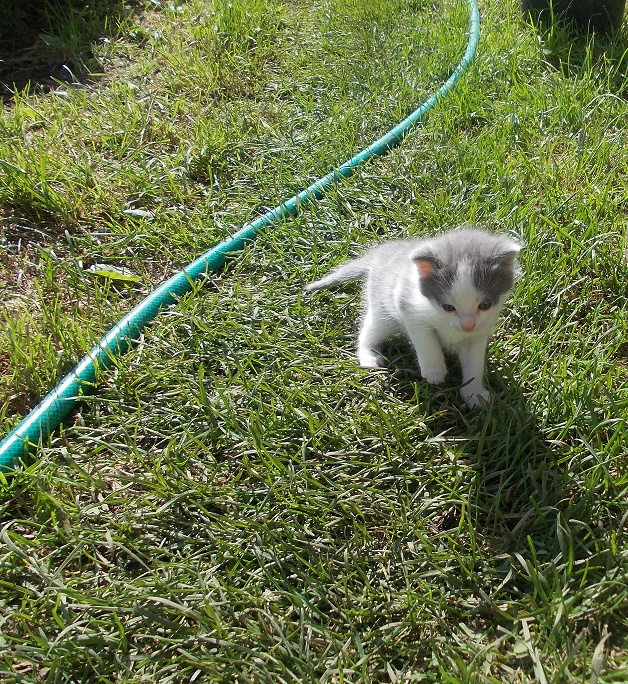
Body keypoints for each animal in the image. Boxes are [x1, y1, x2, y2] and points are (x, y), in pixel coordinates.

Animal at [305, 227, 522, 409]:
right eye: (448, 307)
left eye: (485, 305)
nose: (467, 325)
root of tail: (382, 252)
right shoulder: (407, 305)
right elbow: (425, 339)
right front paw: (434, 370)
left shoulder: (478, 333)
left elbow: (474, 363)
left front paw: (473, 394)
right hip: (382, 310)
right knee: (369, 330)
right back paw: (368, 355)